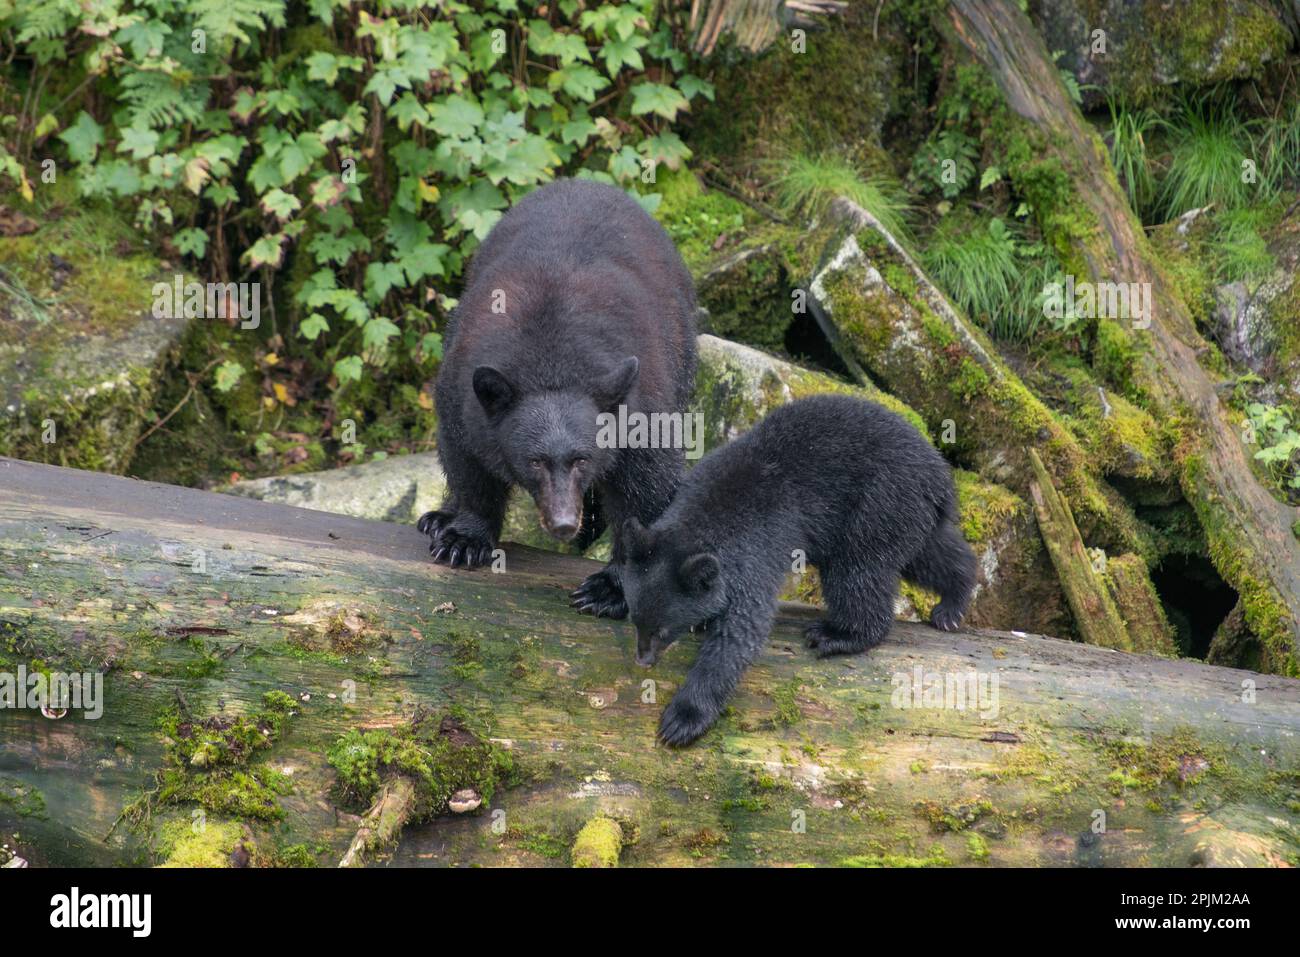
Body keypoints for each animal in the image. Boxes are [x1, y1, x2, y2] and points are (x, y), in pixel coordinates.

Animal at [420, 178, 698, 621]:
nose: (565, 523)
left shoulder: (641, 403)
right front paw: (464, 538)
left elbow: (646, 487)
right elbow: (466, 460)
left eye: (582, 459)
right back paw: (438, 517)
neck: (552, 361)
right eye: (535, 461)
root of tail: (585, 182)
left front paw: (609, 589)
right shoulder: (462, 389)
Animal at [618, 393, 977, 746]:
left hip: (877, 505)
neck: (704, 517)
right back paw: (952, 605)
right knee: (932, 555)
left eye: (662, 630)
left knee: (857, 573)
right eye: (635, 619)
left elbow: (740, 633)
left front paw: (683, 718)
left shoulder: (754, 551)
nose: (643, 659)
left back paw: (837, 635)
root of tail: (940, 473)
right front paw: (703, 622)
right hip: (910, 514)